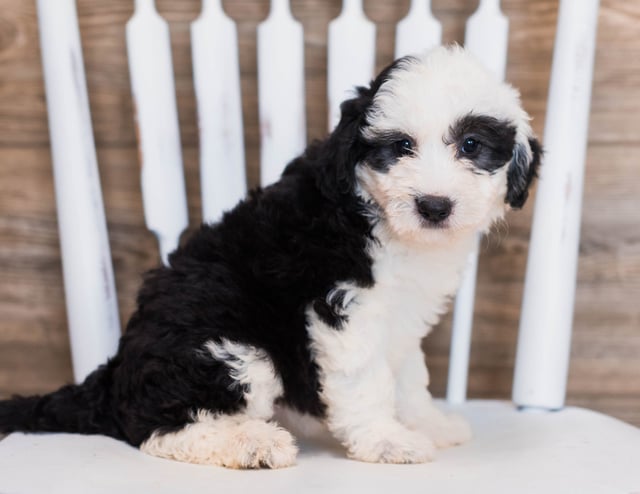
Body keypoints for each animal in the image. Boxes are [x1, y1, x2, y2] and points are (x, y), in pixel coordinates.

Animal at [0, 46, 540, 466]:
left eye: (471, 145)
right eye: (401, 146)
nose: (434, 205)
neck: (374, 213)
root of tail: (113, 375)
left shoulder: (403, 315)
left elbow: (408, 377)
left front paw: (427, 424)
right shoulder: (340, 305)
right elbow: (365, 379)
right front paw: (387, 442)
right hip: (227, 346)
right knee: (158, 427)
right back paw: (251, 444)